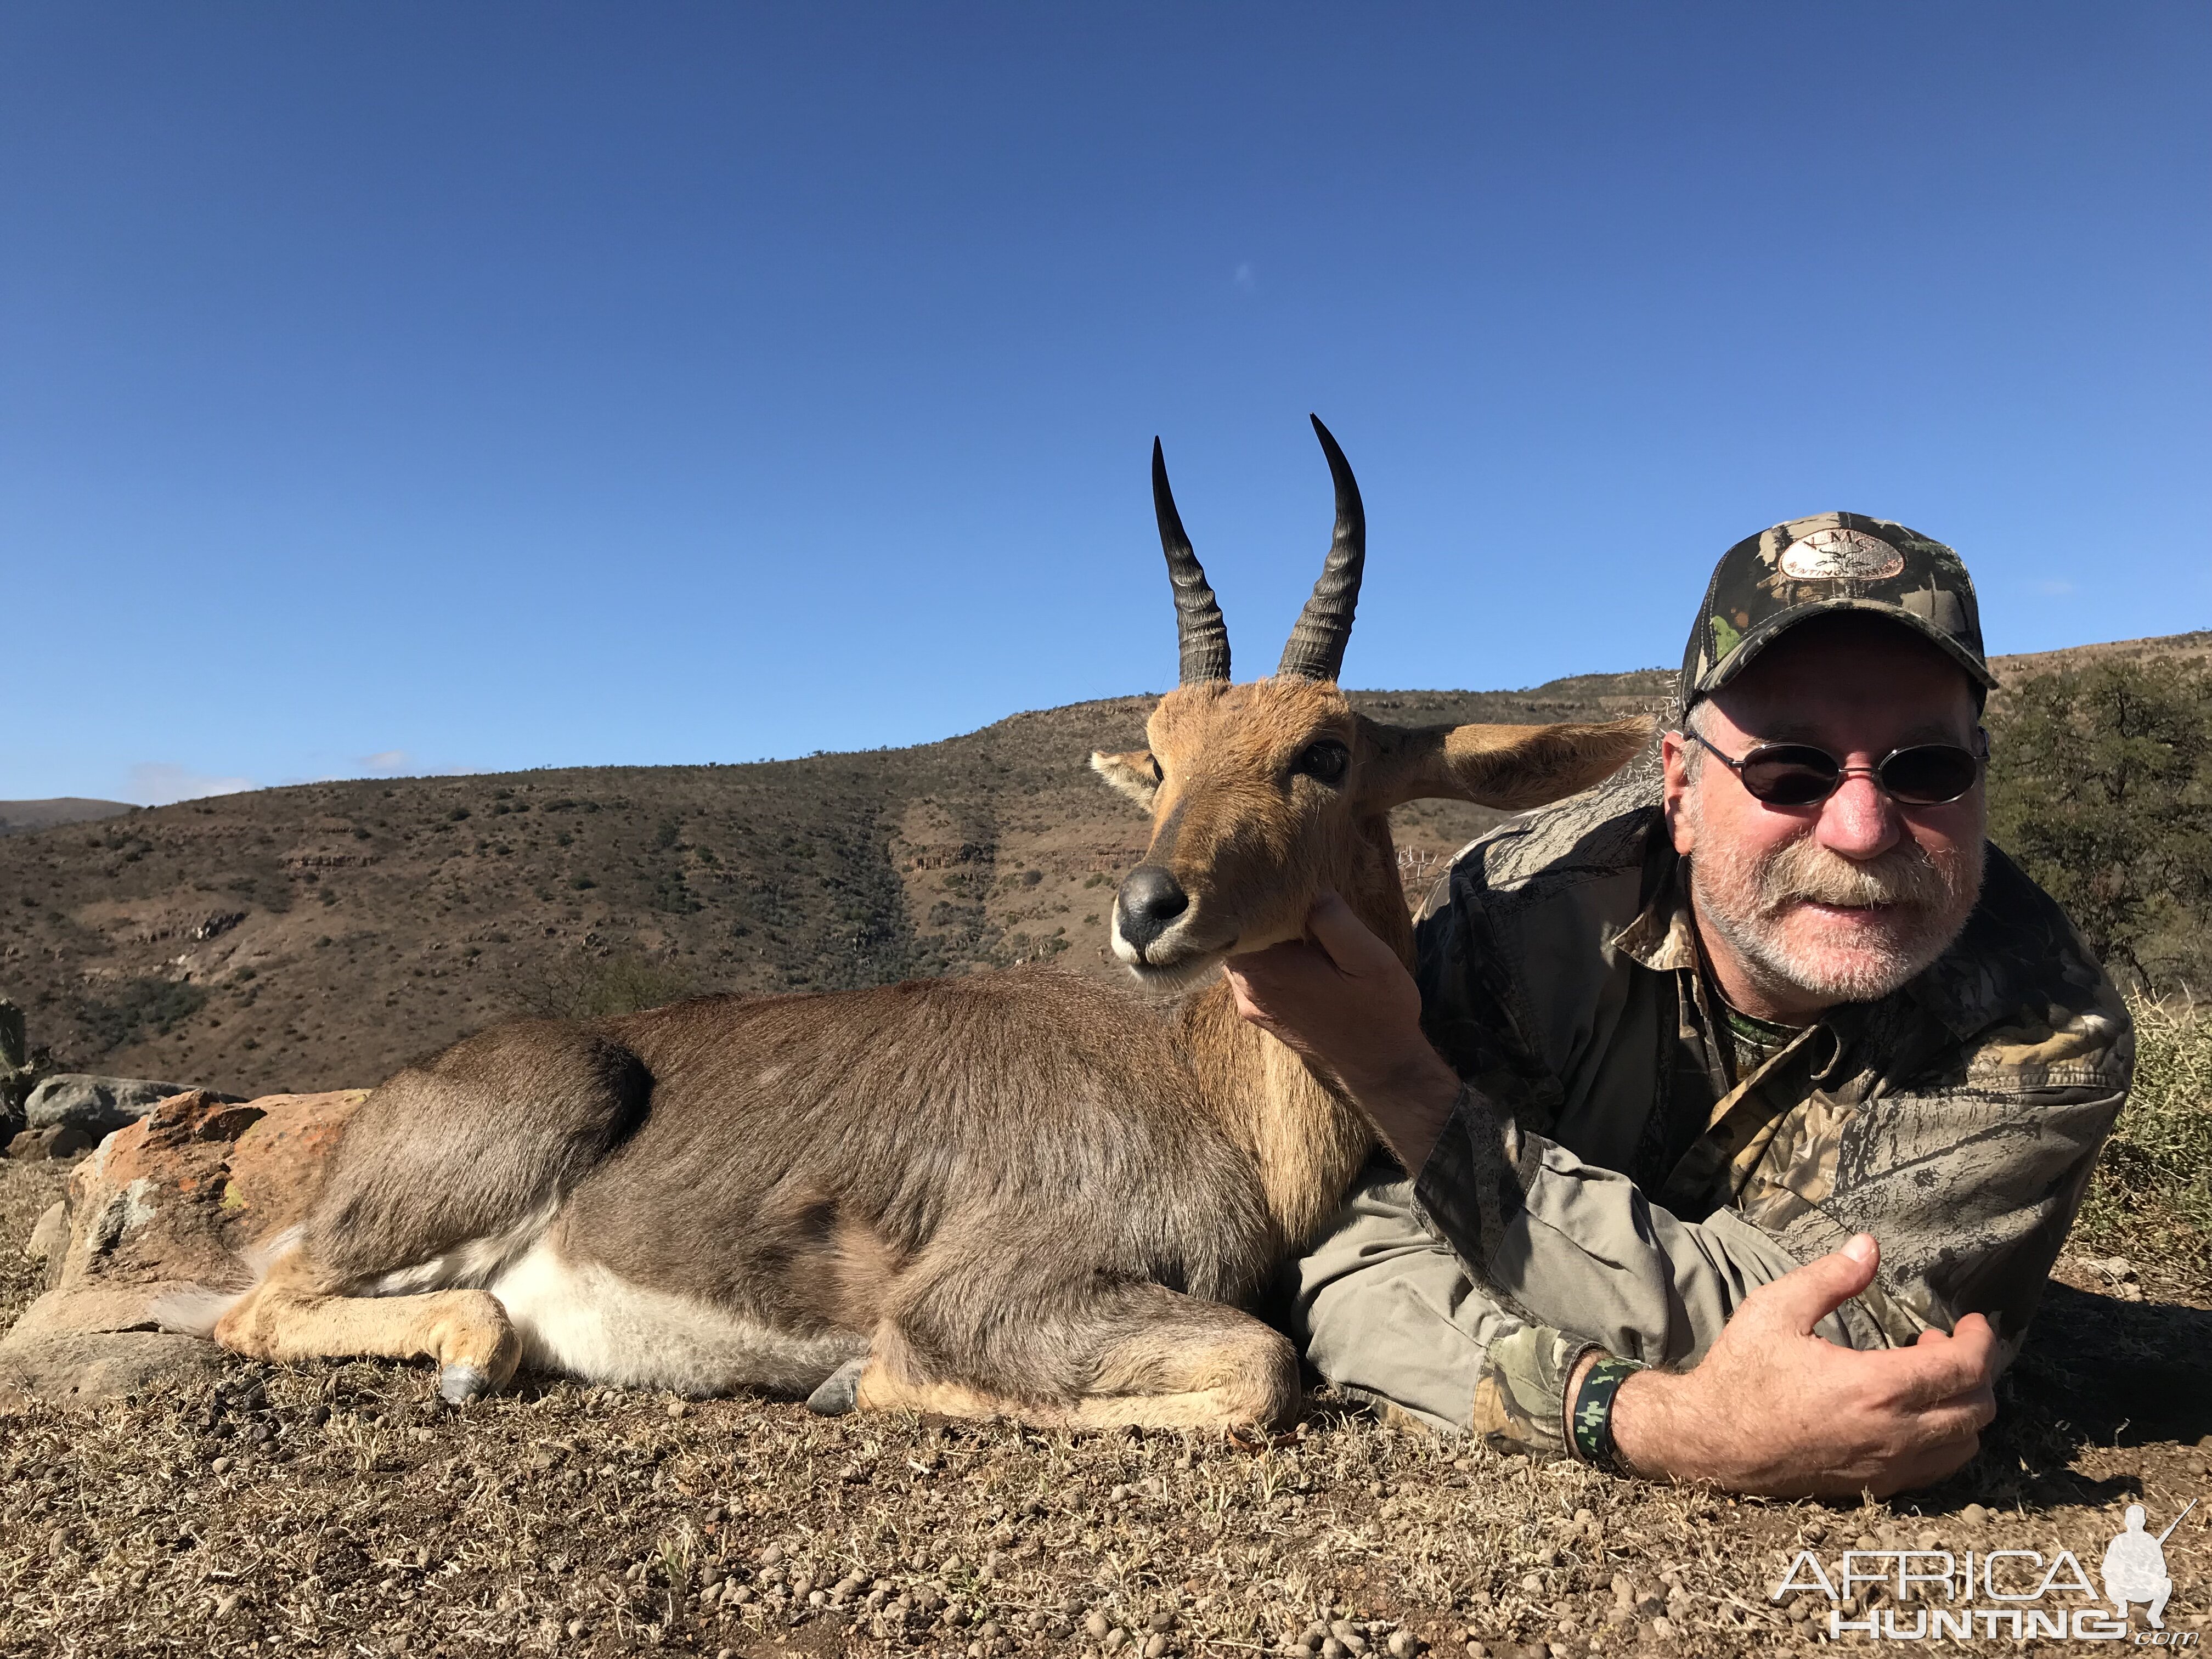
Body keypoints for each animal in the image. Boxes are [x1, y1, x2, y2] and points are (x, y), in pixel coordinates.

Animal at [181, 422, 1654, 1433]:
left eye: (1327, 753)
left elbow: (1267, 1362)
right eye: (1164, 755)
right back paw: (475, 1353)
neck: (1208, 1097)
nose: (1148, 909)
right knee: (273, 1304)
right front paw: (864, 1381)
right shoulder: (990, 1296)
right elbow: (1262, 1366)